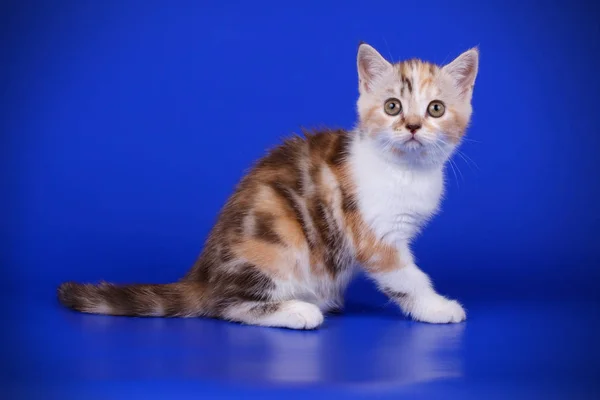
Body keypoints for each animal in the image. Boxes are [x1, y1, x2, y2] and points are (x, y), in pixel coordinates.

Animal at [56, 43, 478, 328]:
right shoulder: (375, 235)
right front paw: (437, 307)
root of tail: (202, 274)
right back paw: (299, 311)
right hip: (275, 238)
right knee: (227, 306)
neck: (406, 170)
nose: (413, 126)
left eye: (435, 109)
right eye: (393, 106)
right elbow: (407, 277)